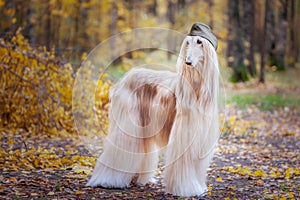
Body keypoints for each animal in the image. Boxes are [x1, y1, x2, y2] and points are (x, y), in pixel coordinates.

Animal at [86, 23, 220, 197]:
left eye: (200, 42)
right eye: (187, 43)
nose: (188, 62)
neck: (197, 89)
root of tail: (124, 78)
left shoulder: (201, 138)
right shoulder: (184, 135)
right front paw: (186, 189)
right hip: (128, 124)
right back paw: (107, 181)